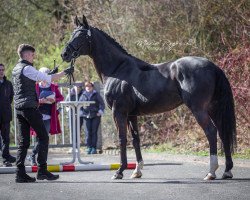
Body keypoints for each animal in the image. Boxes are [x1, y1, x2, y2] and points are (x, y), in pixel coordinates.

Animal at [61, 16, 236, 180]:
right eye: (72, 34)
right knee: (222, 132)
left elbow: (122, 139)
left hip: (199, 109)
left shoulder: (119, 112)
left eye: (81, 35)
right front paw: (137, 171)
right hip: (213, 108)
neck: (117, 70)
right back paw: (227, 171)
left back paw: (211, 172)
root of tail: (212, 66)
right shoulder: (132, 115)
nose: (64, 54)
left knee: (211, 132)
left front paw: (119, 171)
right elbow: (135, 139)